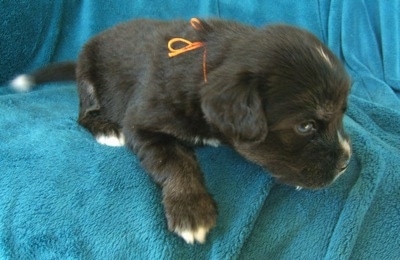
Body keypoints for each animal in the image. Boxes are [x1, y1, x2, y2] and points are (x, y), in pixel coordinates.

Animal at [11, 18, 350, 244]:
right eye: (305, 126)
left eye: (343, 113)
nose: (346, 163)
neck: (211, 67)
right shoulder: (142, 122)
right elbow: (175, 161)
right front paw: (191, 212)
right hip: (88, 75)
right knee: (83, 114)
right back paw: (106, 129)